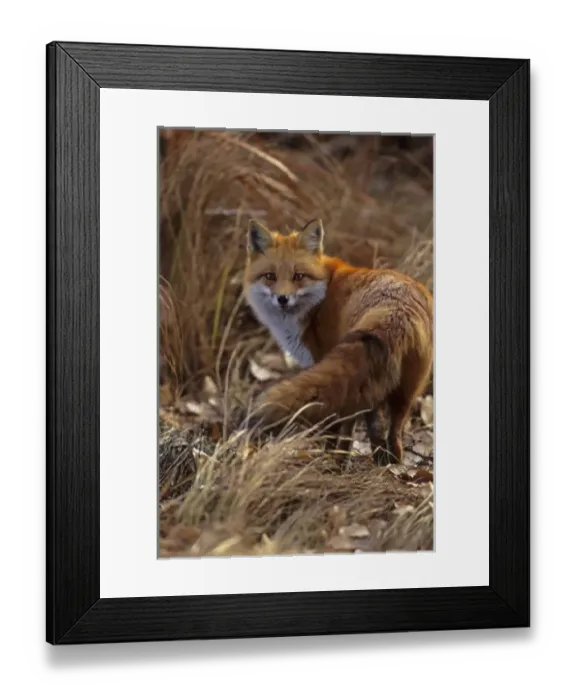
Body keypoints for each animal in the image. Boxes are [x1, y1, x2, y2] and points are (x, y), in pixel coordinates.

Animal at [243, 218, 433, 465]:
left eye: (298, 276)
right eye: (270, 276)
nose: (282, 299)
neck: (320, 296)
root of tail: (396, 310)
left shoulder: (321, 356)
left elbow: (338, 426)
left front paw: (334, 454)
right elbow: (360, 428)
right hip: (406, 388)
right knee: (393, 431)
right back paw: (390, 463)